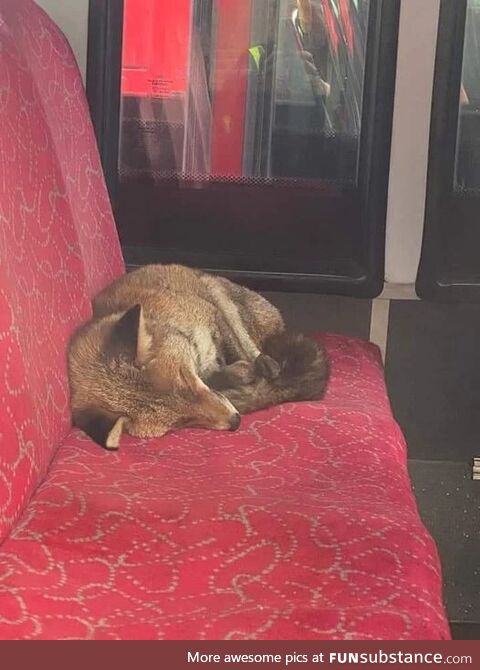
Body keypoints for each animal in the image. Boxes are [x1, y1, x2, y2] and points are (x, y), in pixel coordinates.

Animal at [68, 266, 330, 448]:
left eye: (186, 377)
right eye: (181, 423)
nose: (235, 421)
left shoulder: (211, 314)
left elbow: (240, 349)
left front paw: (258, 371)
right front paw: (238, 377)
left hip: (216, 290)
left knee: (251, 344)